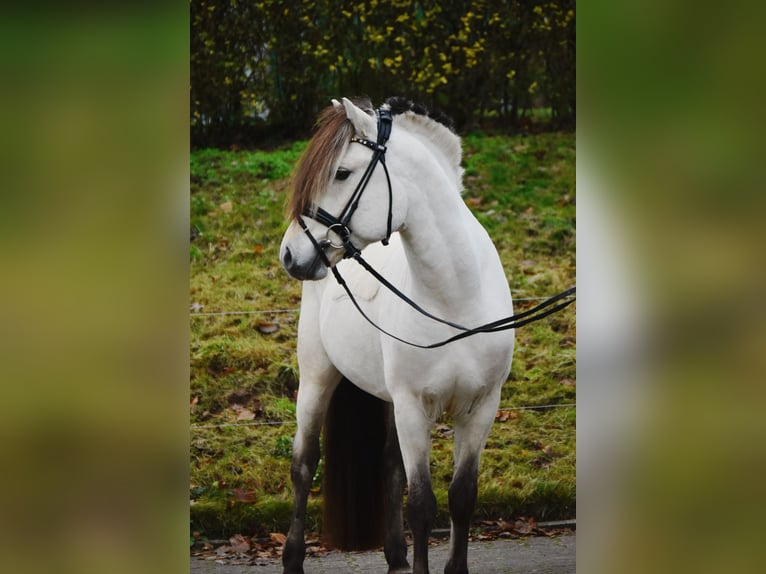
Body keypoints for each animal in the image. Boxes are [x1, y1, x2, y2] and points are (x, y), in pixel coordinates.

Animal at [278, 97, 515, 574]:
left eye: (342, 172)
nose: (289, 254)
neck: (456, 301)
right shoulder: (412, 407)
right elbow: (421, 505)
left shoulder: (481, 407)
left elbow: (461, 498)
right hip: (317, 377)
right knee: (304, 464)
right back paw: (293, 558)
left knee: (388, 467)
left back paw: (395, 557)